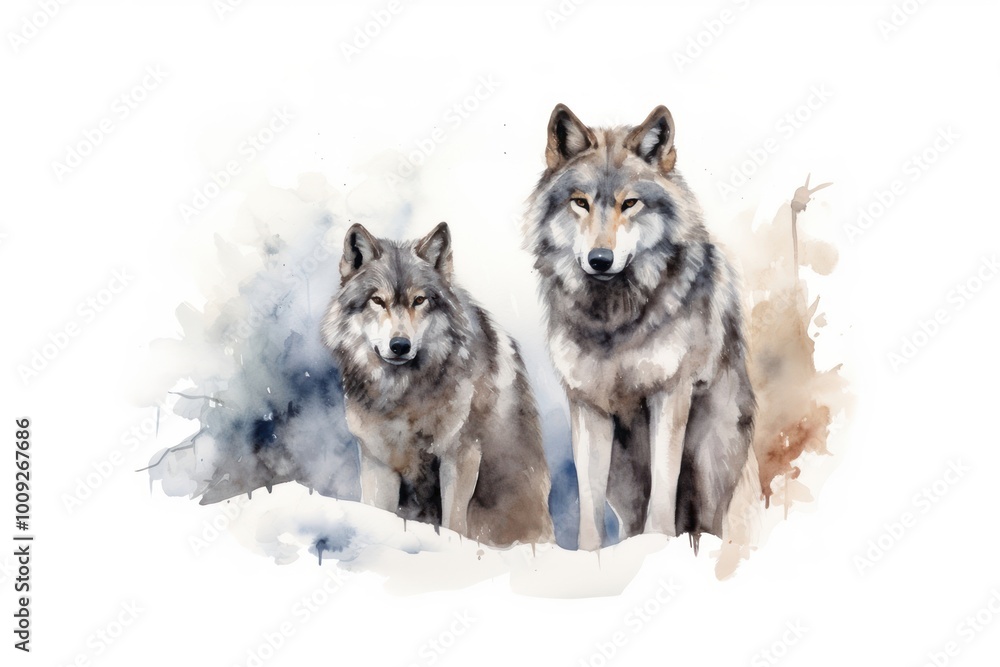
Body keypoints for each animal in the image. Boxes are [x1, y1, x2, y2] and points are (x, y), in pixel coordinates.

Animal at [321, 222, 554, 548]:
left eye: (419, 300)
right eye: (377, 300)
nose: (400, 345)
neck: (403, 396)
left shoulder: (461, 455)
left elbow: (454, 524)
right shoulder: (378, 463)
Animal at [522, 104, 755, 551]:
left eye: (629, 203)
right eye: (581, 203)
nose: (599, 259)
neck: (614, 319)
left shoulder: (670, 392)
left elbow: (664, 487)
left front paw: (657, 544)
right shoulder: (588, 406)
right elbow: (589, 503)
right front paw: (590, 556)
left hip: (708, 465)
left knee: (709, 521)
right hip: (625, 477)